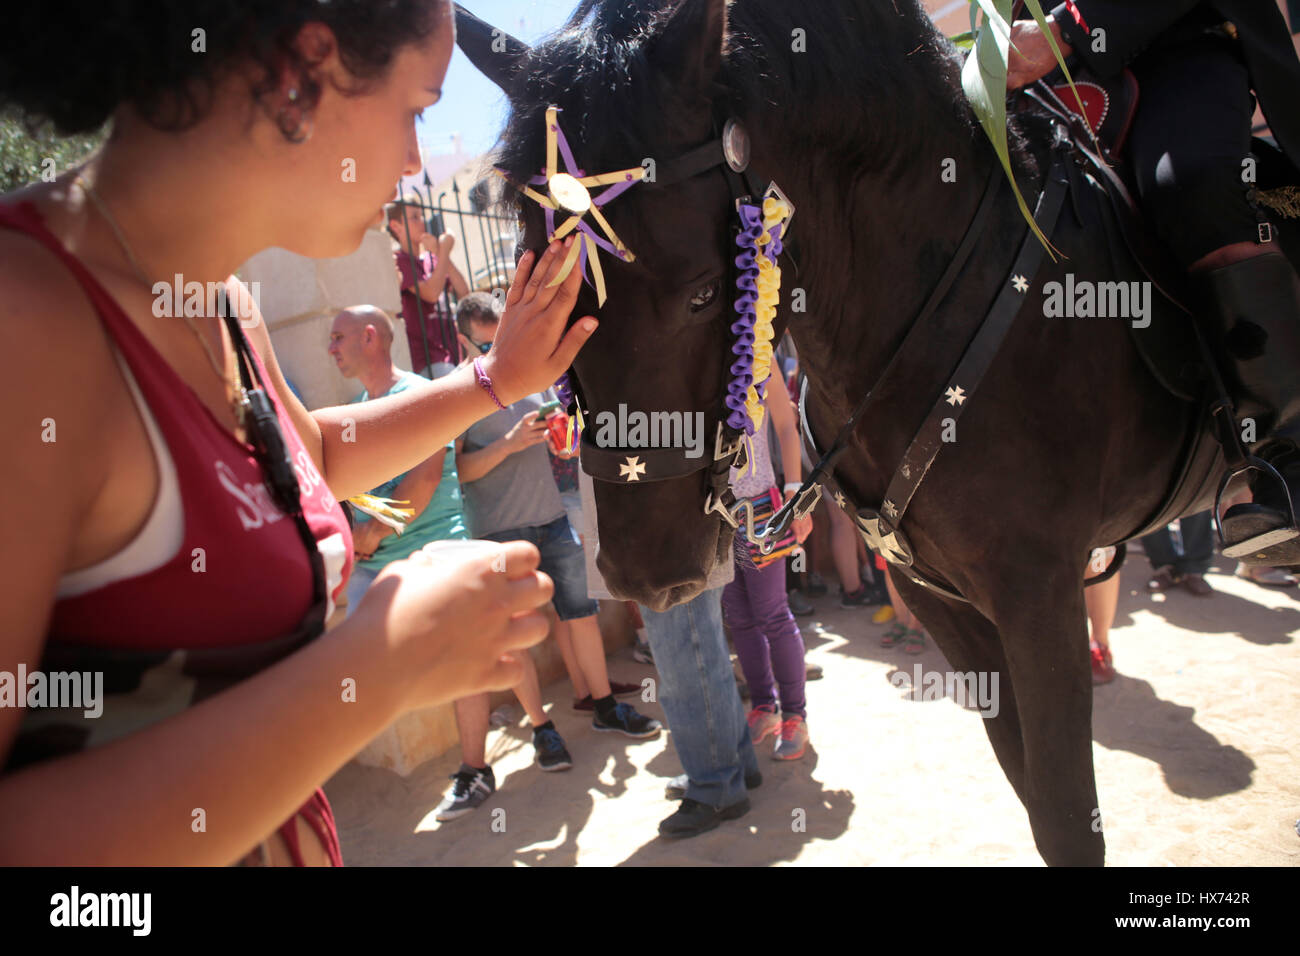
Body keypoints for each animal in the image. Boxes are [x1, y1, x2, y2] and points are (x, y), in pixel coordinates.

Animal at [454, 0, 1289, 868]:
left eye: (704, 294)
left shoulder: (1039, 593)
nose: (642, 574)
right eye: (542, 297)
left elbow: (1065, 817)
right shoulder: (943, 597)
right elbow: (1034, 795)